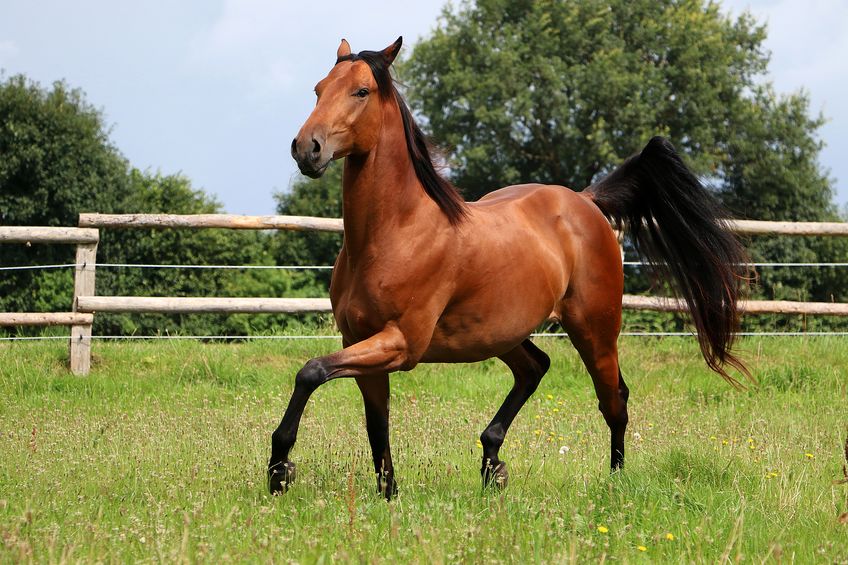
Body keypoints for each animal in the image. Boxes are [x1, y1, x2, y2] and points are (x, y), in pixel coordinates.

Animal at [274, 37, 748, 500]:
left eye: (361, 91)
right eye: (318, 89)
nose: (306, 148)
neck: (396, 232)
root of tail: (586, 200)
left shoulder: (401, 343)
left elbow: (311, 371)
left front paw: (279, 471)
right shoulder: (358, 341)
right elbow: (375, 426)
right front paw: (387, 494)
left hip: (594, 330)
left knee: (613, 398)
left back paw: (613, 482)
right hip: (501, 332)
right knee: (535, 368)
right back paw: (493, 465)